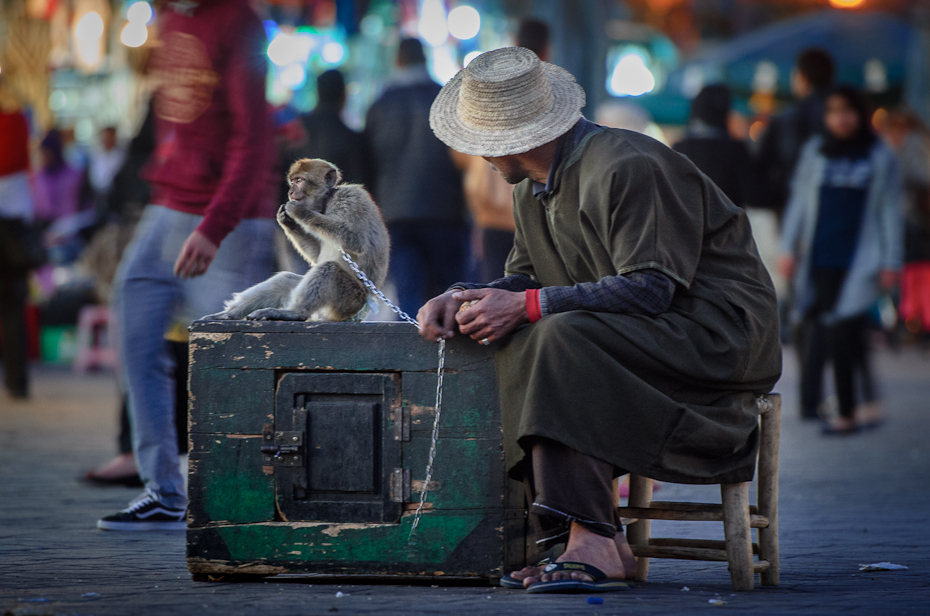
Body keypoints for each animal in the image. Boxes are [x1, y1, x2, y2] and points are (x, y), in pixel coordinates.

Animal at [201, 159, 390, 322]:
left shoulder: (350, 198)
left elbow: (356, 241)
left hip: (348, 303)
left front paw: (299, 212)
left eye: (299, 180)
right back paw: (229, 315)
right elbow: (316, 255)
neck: (327, 200)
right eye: (292, 181)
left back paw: (295, 313)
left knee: (329, 270)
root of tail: (367, 304)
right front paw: (287, 221)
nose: (290, 192)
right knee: (284, 280)